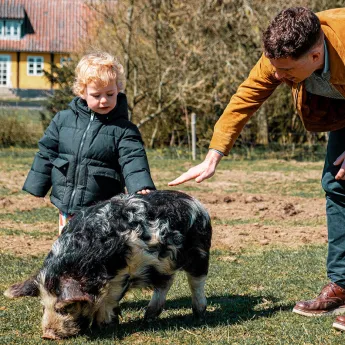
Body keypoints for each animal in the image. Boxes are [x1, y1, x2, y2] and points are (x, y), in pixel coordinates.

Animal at [4, 191, 211, 338]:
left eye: (64, 307)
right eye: (43, 305)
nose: (48, 335)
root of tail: (196, 203)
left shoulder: (121, 273)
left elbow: (109, 298)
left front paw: (103, 325)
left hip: (199, 252)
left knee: (197, 281)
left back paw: (199, 313)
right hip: (163, 264)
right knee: (164, 283)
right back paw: (148, 317)